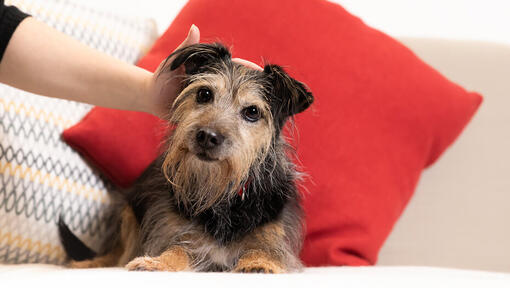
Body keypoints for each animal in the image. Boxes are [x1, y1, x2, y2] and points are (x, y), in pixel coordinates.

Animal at [59, 42, 314, 272]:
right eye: (204, 93)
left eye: (252, 111)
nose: (207, 136)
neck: (219, 193)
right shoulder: (175, 232)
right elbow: (175, 249)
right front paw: (157, 263)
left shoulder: (273, 237)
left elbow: (264, 250)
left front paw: (259, 264)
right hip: (129, 210)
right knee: (117, 252)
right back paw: (91, 262)